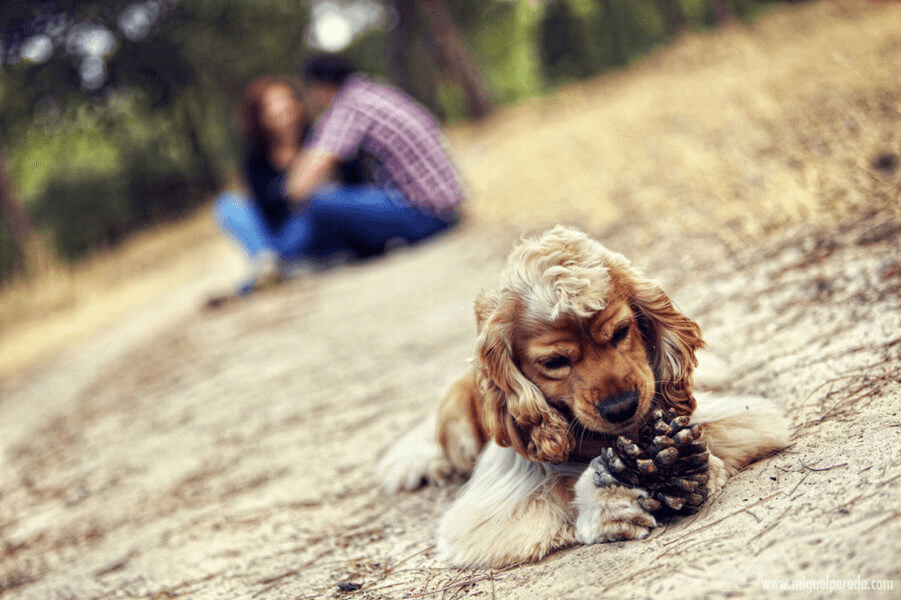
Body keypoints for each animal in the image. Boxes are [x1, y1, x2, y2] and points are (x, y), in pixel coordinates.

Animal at [378, 225, 788, 568]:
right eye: (555, 362)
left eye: (620, 331)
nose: (621, 407)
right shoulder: (502, 503)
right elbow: (558, 488)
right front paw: (610, 502)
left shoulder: (730, 417)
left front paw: (697, 467)